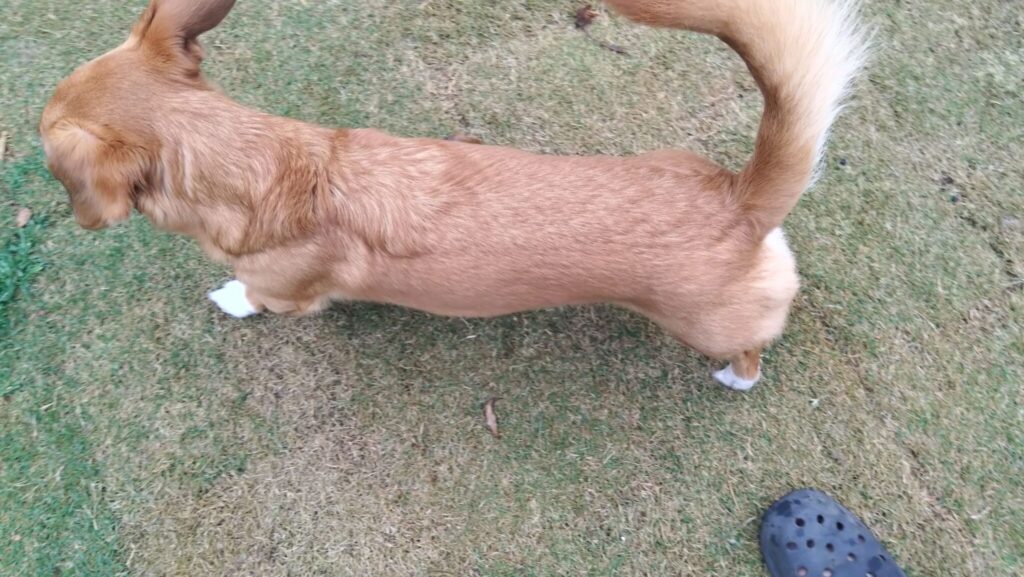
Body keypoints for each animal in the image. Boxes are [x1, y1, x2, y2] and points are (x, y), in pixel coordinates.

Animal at [40, 0, 867, 391]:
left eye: (44, 133)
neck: (269, 165)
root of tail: (739, 197)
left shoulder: (285, 290)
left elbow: (255, 295)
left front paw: (230, 297)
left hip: (708, 326)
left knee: (751, 348)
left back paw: (736, 377)